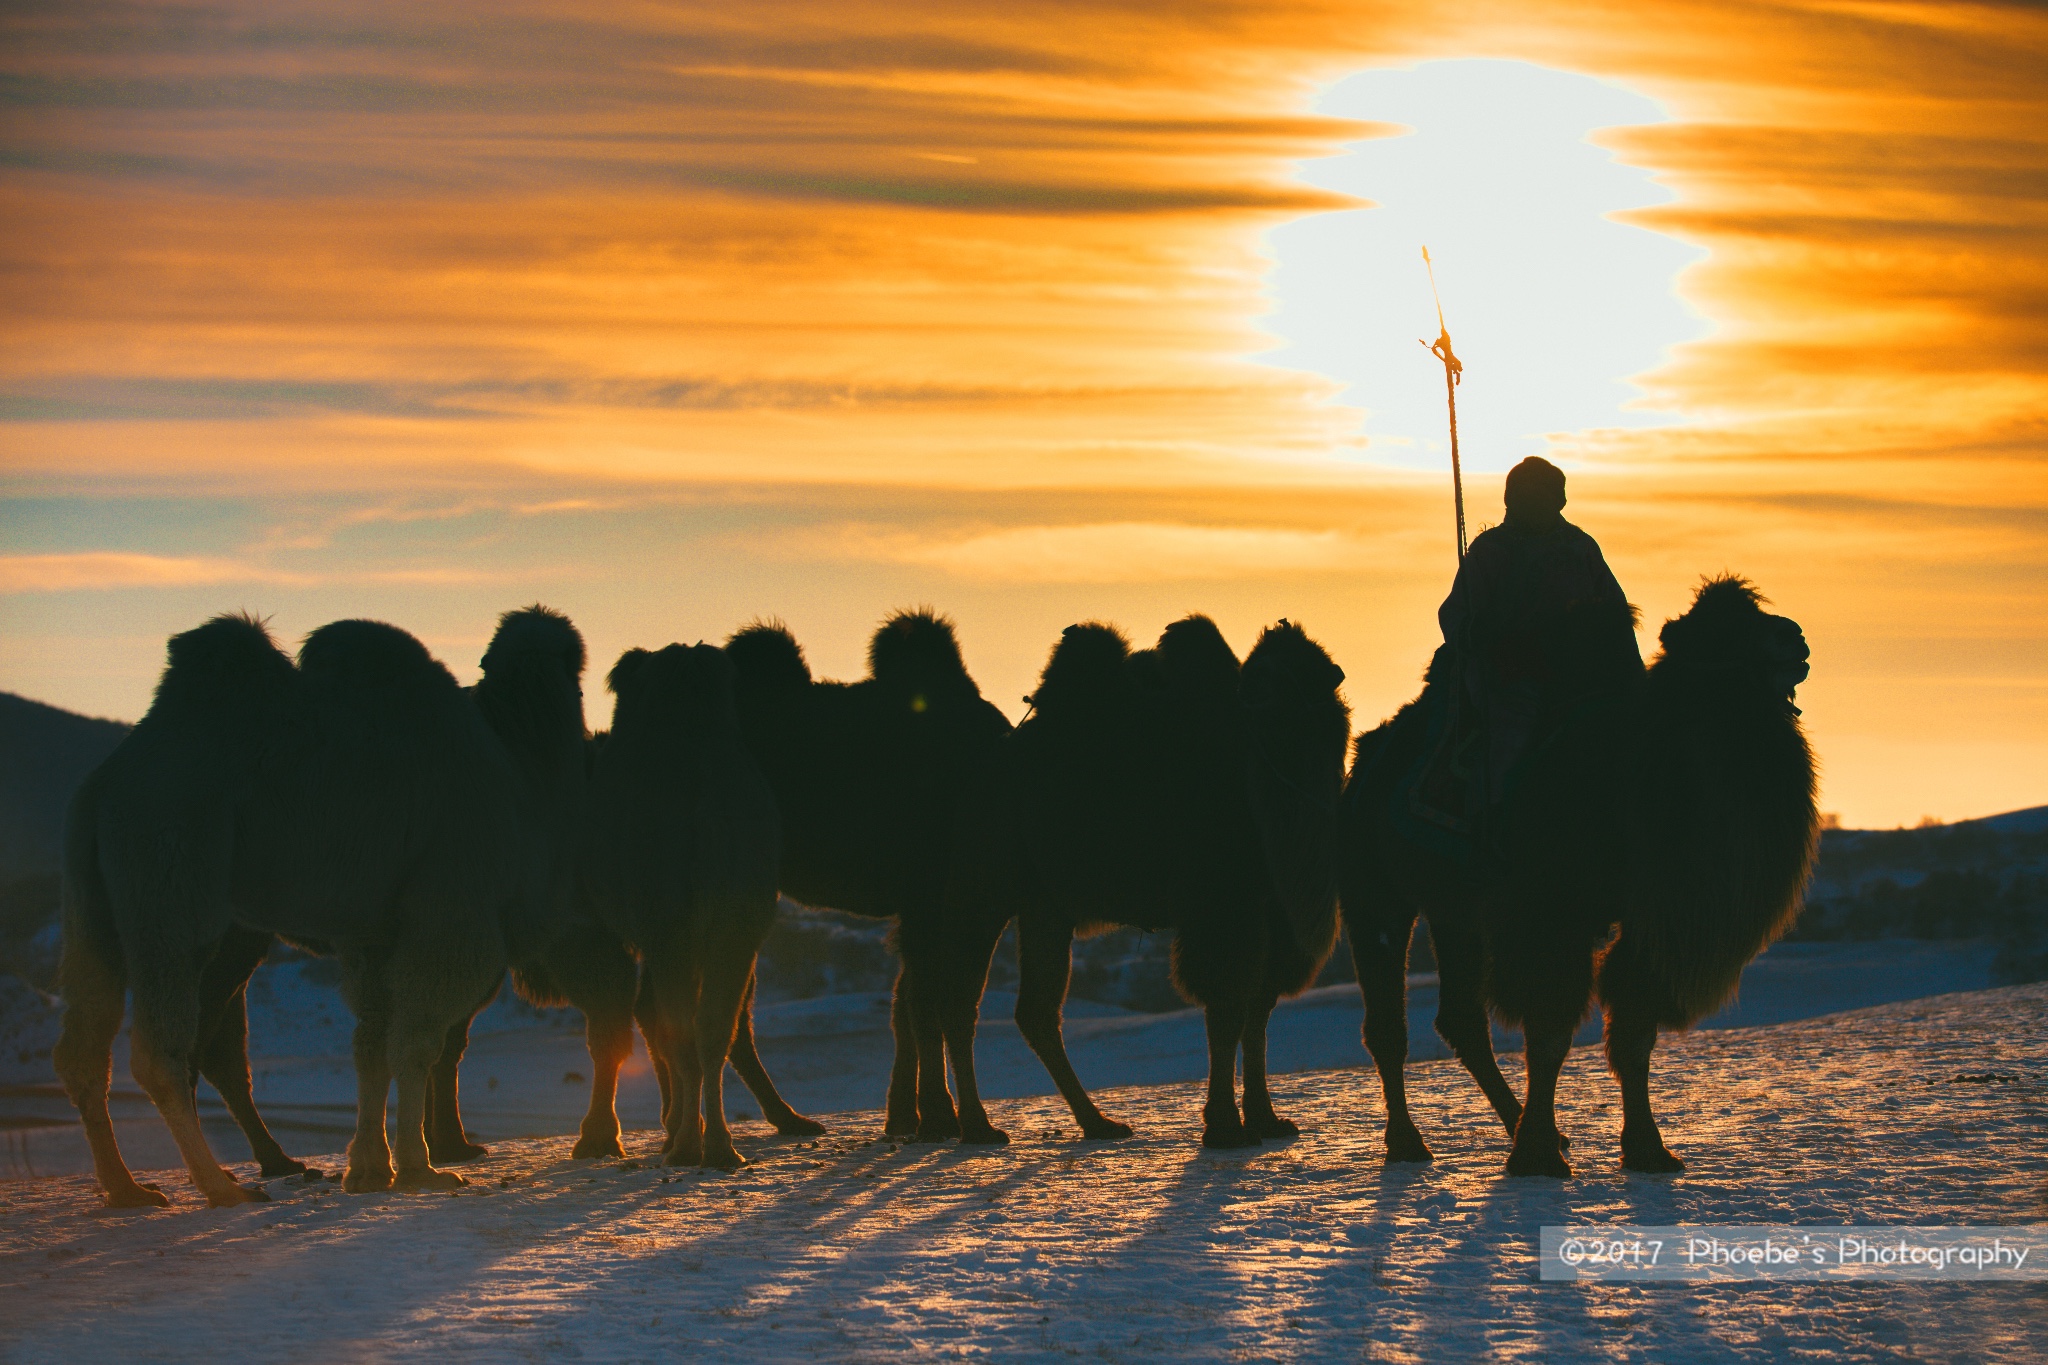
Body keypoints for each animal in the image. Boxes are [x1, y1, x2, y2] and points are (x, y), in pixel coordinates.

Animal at [56, 618, 561, 1203]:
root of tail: (103, 787)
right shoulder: (449, 908)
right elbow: (417, 1041)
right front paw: (421, 1168)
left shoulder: (376, 931)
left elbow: (373, 1041)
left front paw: (371, 1169)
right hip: (170, 880)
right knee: (163, 1050)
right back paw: (222, 1186)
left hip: (95, 909)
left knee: (87, 1048)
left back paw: (131, 1189)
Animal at [581, 646, 778, 1170]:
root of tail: (704, 814)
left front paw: (673, 1133)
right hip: (737, 925)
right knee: (714, 1030)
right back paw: (720, 1146)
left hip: (674, 928)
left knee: (681, 1032)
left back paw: (690, 1144)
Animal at [720, 609, 1015, 1146]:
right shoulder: (941, 899)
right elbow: (934, 1004)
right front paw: (948, 1121)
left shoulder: (926, 906)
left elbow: (907, 1005)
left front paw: (906, 1119)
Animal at [966, 622, 1351, 1154]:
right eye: (1259, 676)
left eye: (1300, 675)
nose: (1253, 695)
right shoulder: (1223, 908)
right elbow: (1226, 1010)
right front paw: (1225, 1127)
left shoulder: (1271, 919)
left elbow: (1258, 1012)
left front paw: (1267, 1120)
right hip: (984, 896)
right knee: (956, 1001)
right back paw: (978, 1126)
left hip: (1044, 909)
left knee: (1033, 1013)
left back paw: (1097, 1123)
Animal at [1343, 577, 1826, 1178]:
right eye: (1720, 631)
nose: (1793, 637)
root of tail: (1367, 759)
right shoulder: (1552, 915)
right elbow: (1551, 1034)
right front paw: (1538, 1156)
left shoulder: (1644, 923)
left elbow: (1634, 1032)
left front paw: (1647, 1149)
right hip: (1377, 895)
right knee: (1388, 1023)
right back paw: (1409, 1142)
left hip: (1455, 911)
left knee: (1461, 1019)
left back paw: (1522, 1125)